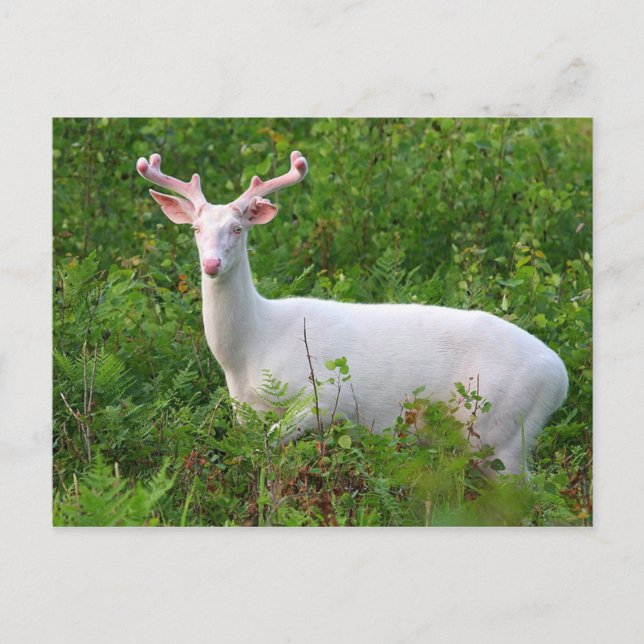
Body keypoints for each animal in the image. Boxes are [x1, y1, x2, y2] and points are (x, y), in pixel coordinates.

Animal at [136, 149, 568, 476]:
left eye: (238, 228)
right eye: (195, 229)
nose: (211, 264)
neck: (250, 349)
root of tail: (560, 378)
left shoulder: (323, 398)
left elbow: (269, 447)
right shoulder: (244, 411)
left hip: (503, 431)